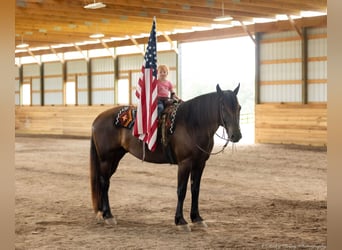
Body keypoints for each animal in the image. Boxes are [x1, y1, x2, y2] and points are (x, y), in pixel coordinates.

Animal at [89, 83, 242, 229]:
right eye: (223, 106)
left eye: (239, 107)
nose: (236, 135)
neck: (192, 124)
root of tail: (98, 119)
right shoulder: (185, 163)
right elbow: (181, 190)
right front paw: (181, 221)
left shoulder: (200, 163)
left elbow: (195, 189)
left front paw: (197, 218)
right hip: (106, 159)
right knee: (104, 182)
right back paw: (108, 215)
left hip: (115, 157)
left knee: (104, 181)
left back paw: (103, 213)